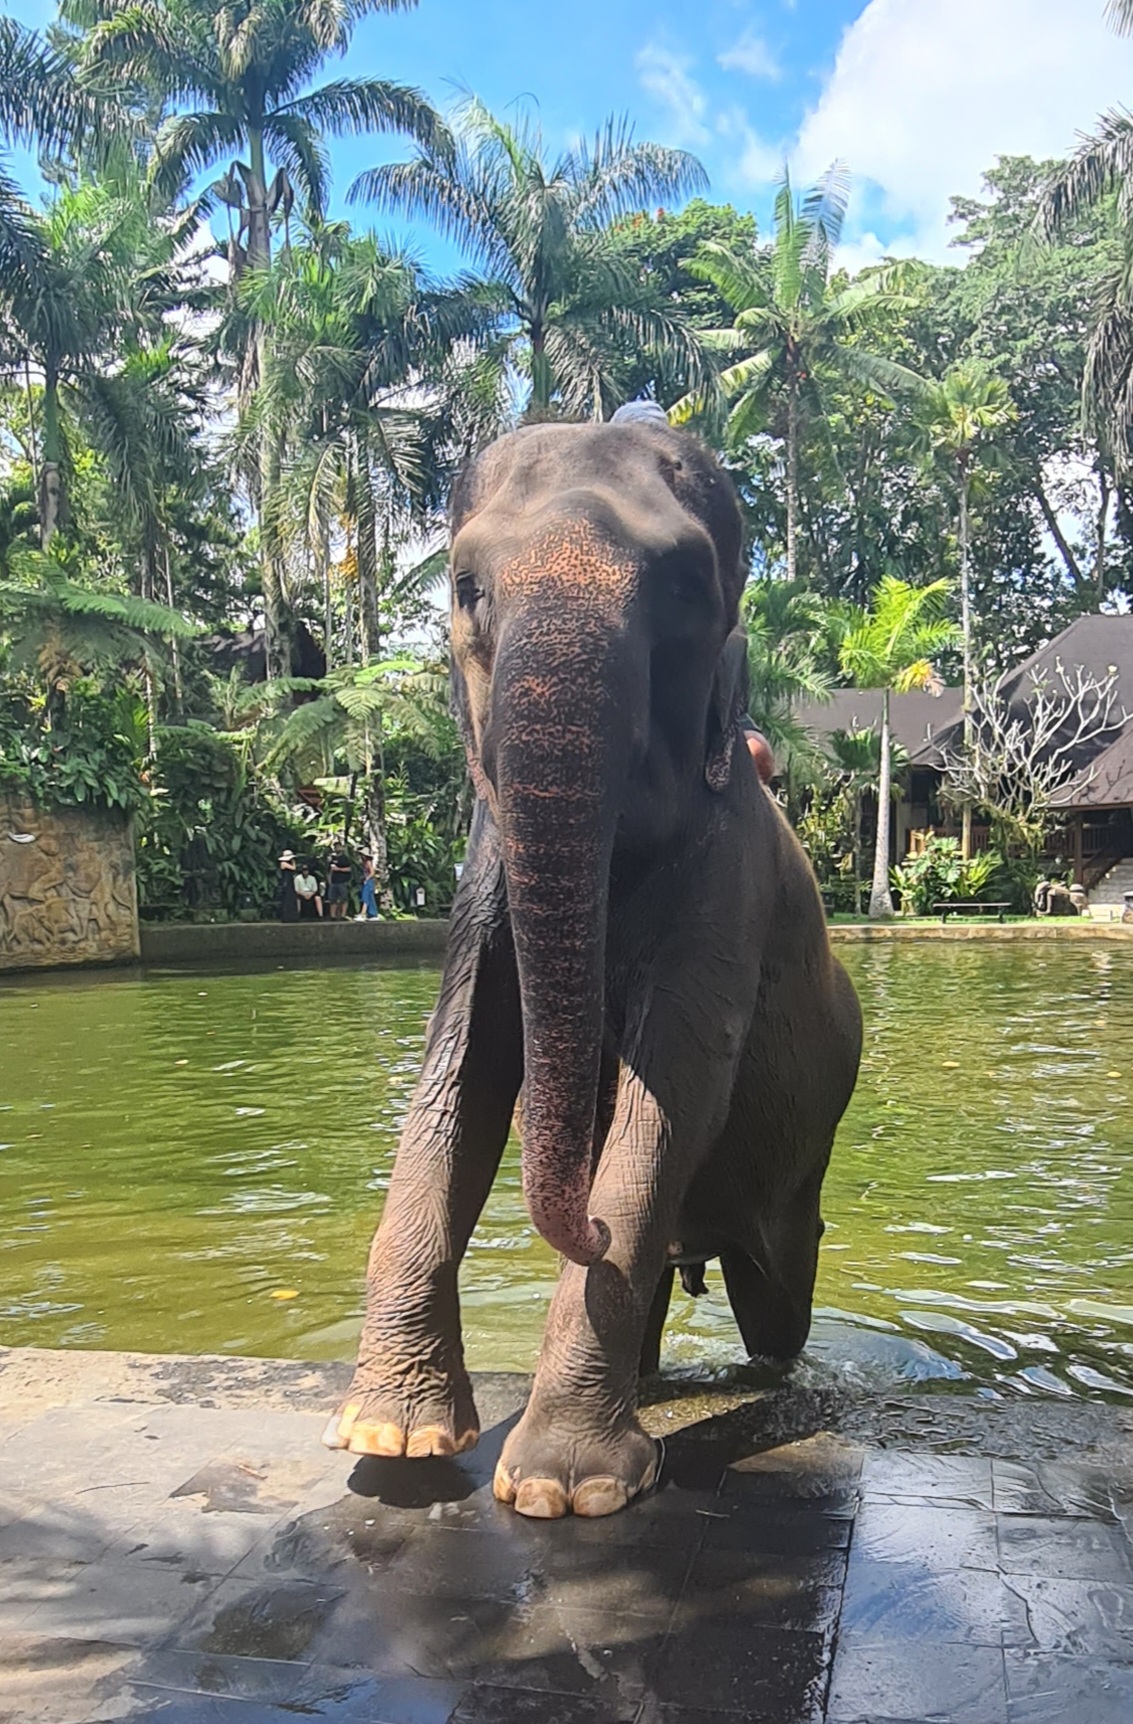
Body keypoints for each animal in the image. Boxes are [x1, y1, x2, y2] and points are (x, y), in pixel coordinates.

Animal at [324, 419, 863, 1519]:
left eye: (688, 588)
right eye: (465, 588)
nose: (594, 1233)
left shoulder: (729, 875)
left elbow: (670, 1103)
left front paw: (561, 1493)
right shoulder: (482, 872)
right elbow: (462, 1075)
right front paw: (393, 1438)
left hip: (799, 1175)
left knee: (779, 1305)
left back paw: (760, 1373)